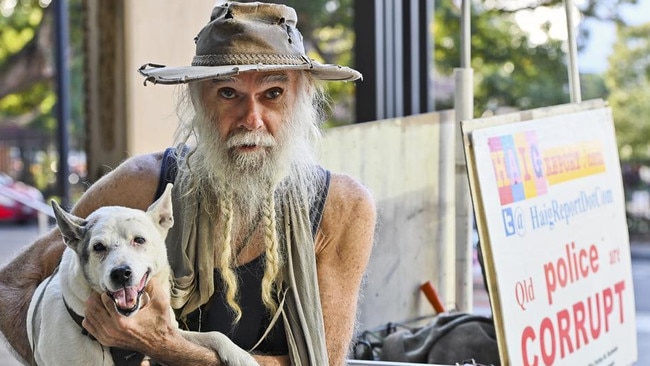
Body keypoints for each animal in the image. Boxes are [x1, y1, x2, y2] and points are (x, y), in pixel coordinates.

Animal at [26, 186, 256, 366]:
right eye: (98, 247)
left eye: (139, 240)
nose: (121, 273)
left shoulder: (169, 335)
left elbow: (213, 335)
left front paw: (240, 356)